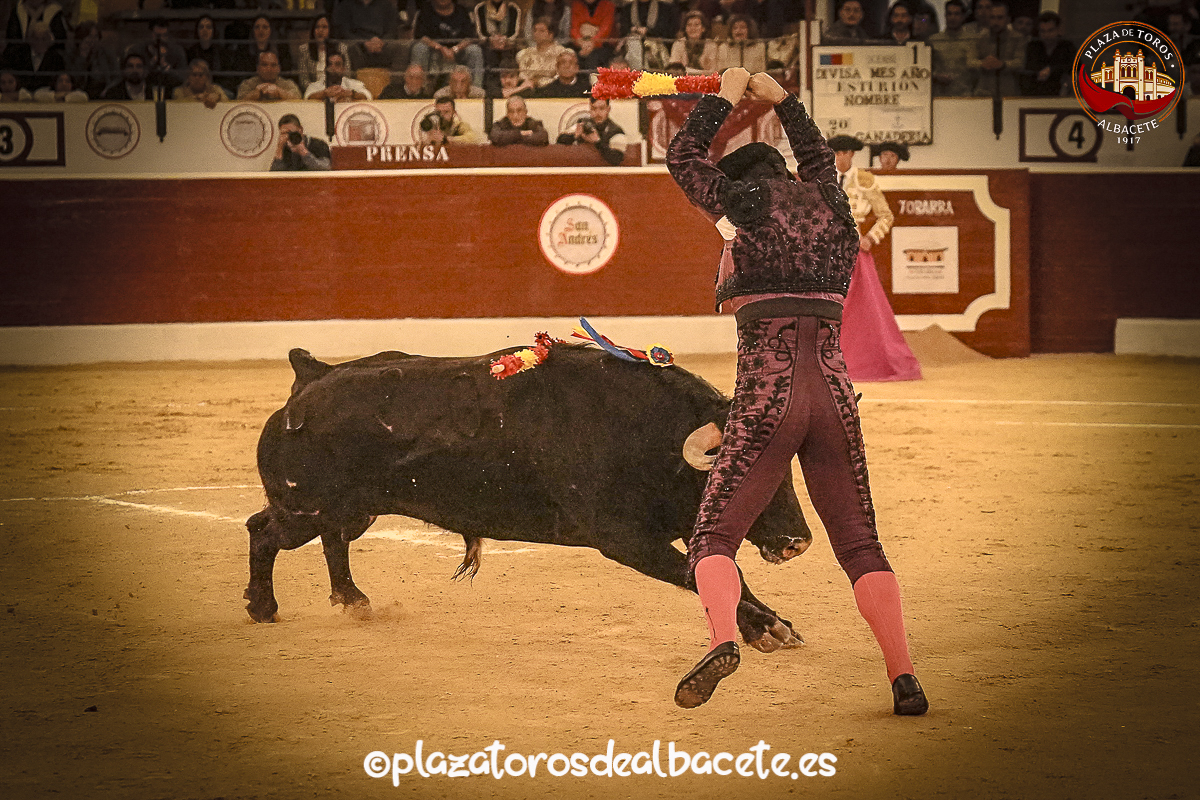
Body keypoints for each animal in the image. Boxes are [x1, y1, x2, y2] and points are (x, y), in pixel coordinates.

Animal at [245, 341, 812, 652]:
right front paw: (767, 629)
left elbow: (723, 573)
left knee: (333, 540)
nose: (798, 541)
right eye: (744, 475)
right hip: (303, 507)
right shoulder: (625, 540)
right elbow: (702, 574)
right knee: (264, 530)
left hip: (349, 508)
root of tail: (311, 376)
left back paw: (353, 601)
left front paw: (777, 626)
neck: (647, 432)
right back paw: (263, 607)